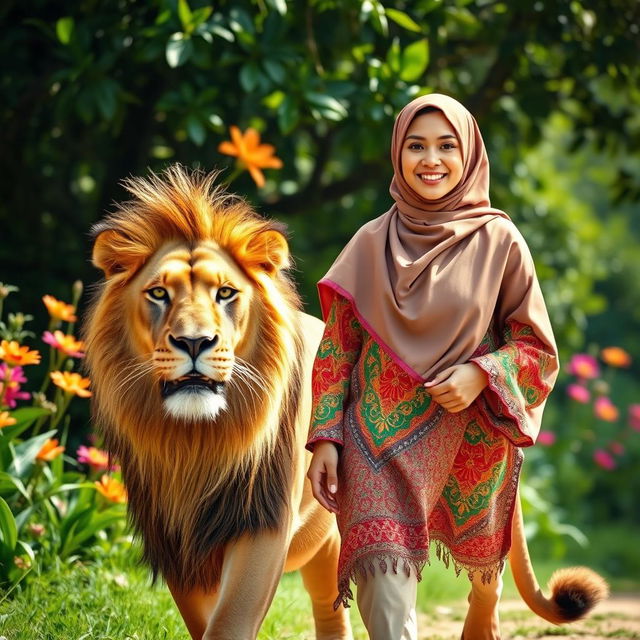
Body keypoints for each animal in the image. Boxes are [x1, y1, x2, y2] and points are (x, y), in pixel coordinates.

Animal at [83, 166, 352, 640]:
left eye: (225, 293)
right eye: (158, 294)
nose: (194, 342)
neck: (197, 443)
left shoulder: (261, 519)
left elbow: (231, 619)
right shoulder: (176, 535)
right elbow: (202, 620)